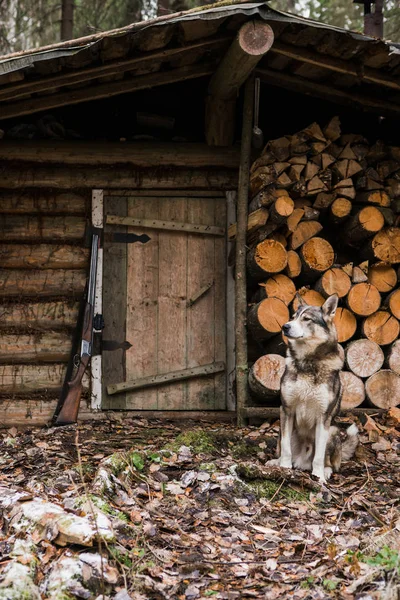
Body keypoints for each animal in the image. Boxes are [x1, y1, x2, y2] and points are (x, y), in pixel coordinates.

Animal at [268, 292, 360, 486]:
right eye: (293, 317)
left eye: (306, 319)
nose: (285, 326)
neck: (307, 363)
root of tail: (301, 462)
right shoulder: (286, 410)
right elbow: (286, 448)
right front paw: (284, 468)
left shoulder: (323, 417)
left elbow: (318, 456)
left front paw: (318, 476)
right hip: (281, 429)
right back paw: (277, 462)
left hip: (332, 431)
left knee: (329, 462)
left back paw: (325, 471)